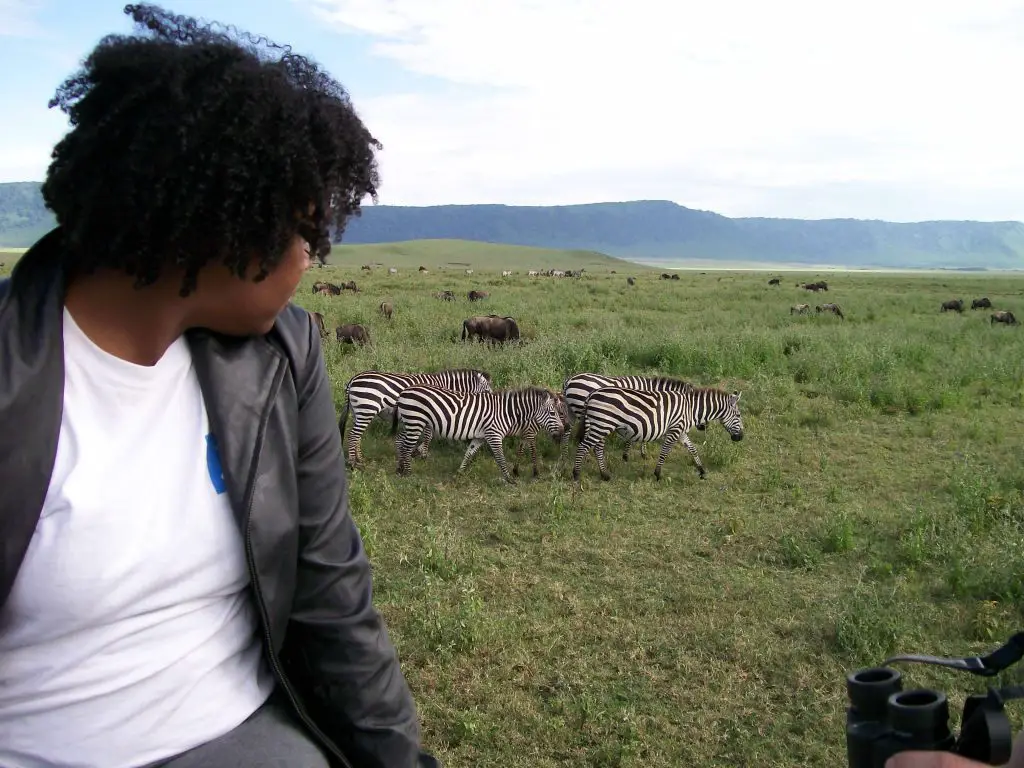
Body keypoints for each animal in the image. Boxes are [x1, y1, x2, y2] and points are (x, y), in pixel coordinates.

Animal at [337, 368, 493, 468]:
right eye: (486, 390)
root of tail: (353, 379)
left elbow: (426, 436)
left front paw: (416, 452)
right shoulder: (431, 413)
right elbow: (428, 436)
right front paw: (422, 454)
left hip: (359, 411)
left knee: (356, 436)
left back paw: (360, 458)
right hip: (367, 409)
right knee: (353, 435)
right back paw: (353, 463)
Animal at [393, 387, 569, 483]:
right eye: (553, 413)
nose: (563, 430)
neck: (507, 412)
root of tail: (404, 391)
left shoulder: (480, 437)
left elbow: (469, 453)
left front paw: (459, 474)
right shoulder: (494, 435)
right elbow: (500, 458)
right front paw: (510, 479)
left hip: (411, 422)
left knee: (400, 441)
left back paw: (400, 469)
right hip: (415, 421)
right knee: (407, 447)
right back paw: (408, 473)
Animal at [561, 374, 704, 460]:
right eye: (695, 407)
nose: (702, 427)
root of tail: (569, 380)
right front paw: (635, 454)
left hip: (572, 411)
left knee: (567, 431)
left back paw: (565, 454)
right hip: (583, 411)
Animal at [569, 387, 745, 483]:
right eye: (738, 415)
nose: (741, 437)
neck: (691, 409)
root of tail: (592, 393)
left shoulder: (681, 431)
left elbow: (692, 449)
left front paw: (702, 471)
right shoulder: (675, 429)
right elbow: (665, 451)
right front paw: (658, 474)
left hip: (602, 424)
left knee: (597, 448)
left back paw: (604, 475)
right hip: (602, 424)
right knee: (584, 446)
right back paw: (576, 474)